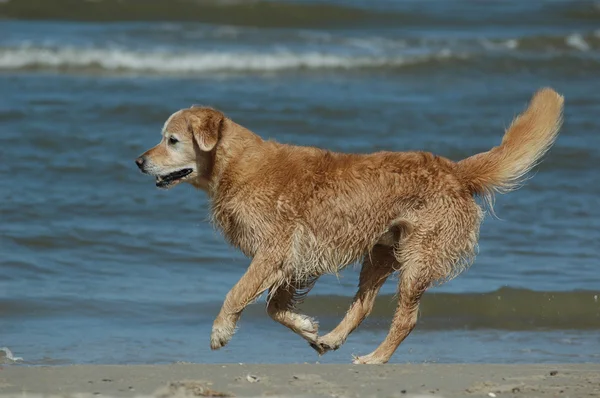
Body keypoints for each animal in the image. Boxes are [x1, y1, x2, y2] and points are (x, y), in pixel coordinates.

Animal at [135, 88, 564, 366]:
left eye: (172, 140)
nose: (139, 161)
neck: (237, 165)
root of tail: (455, 171)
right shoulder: (295, 258)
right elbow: (275, 308)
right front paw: (309, 330)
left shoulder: (274, 249)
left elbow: (236, 293)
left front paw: (220, 331)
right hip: (380, 253)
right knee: (364, 304)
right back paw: (334, 339)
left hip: (418, 258)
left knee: (405, 319)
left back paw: (374, 359)